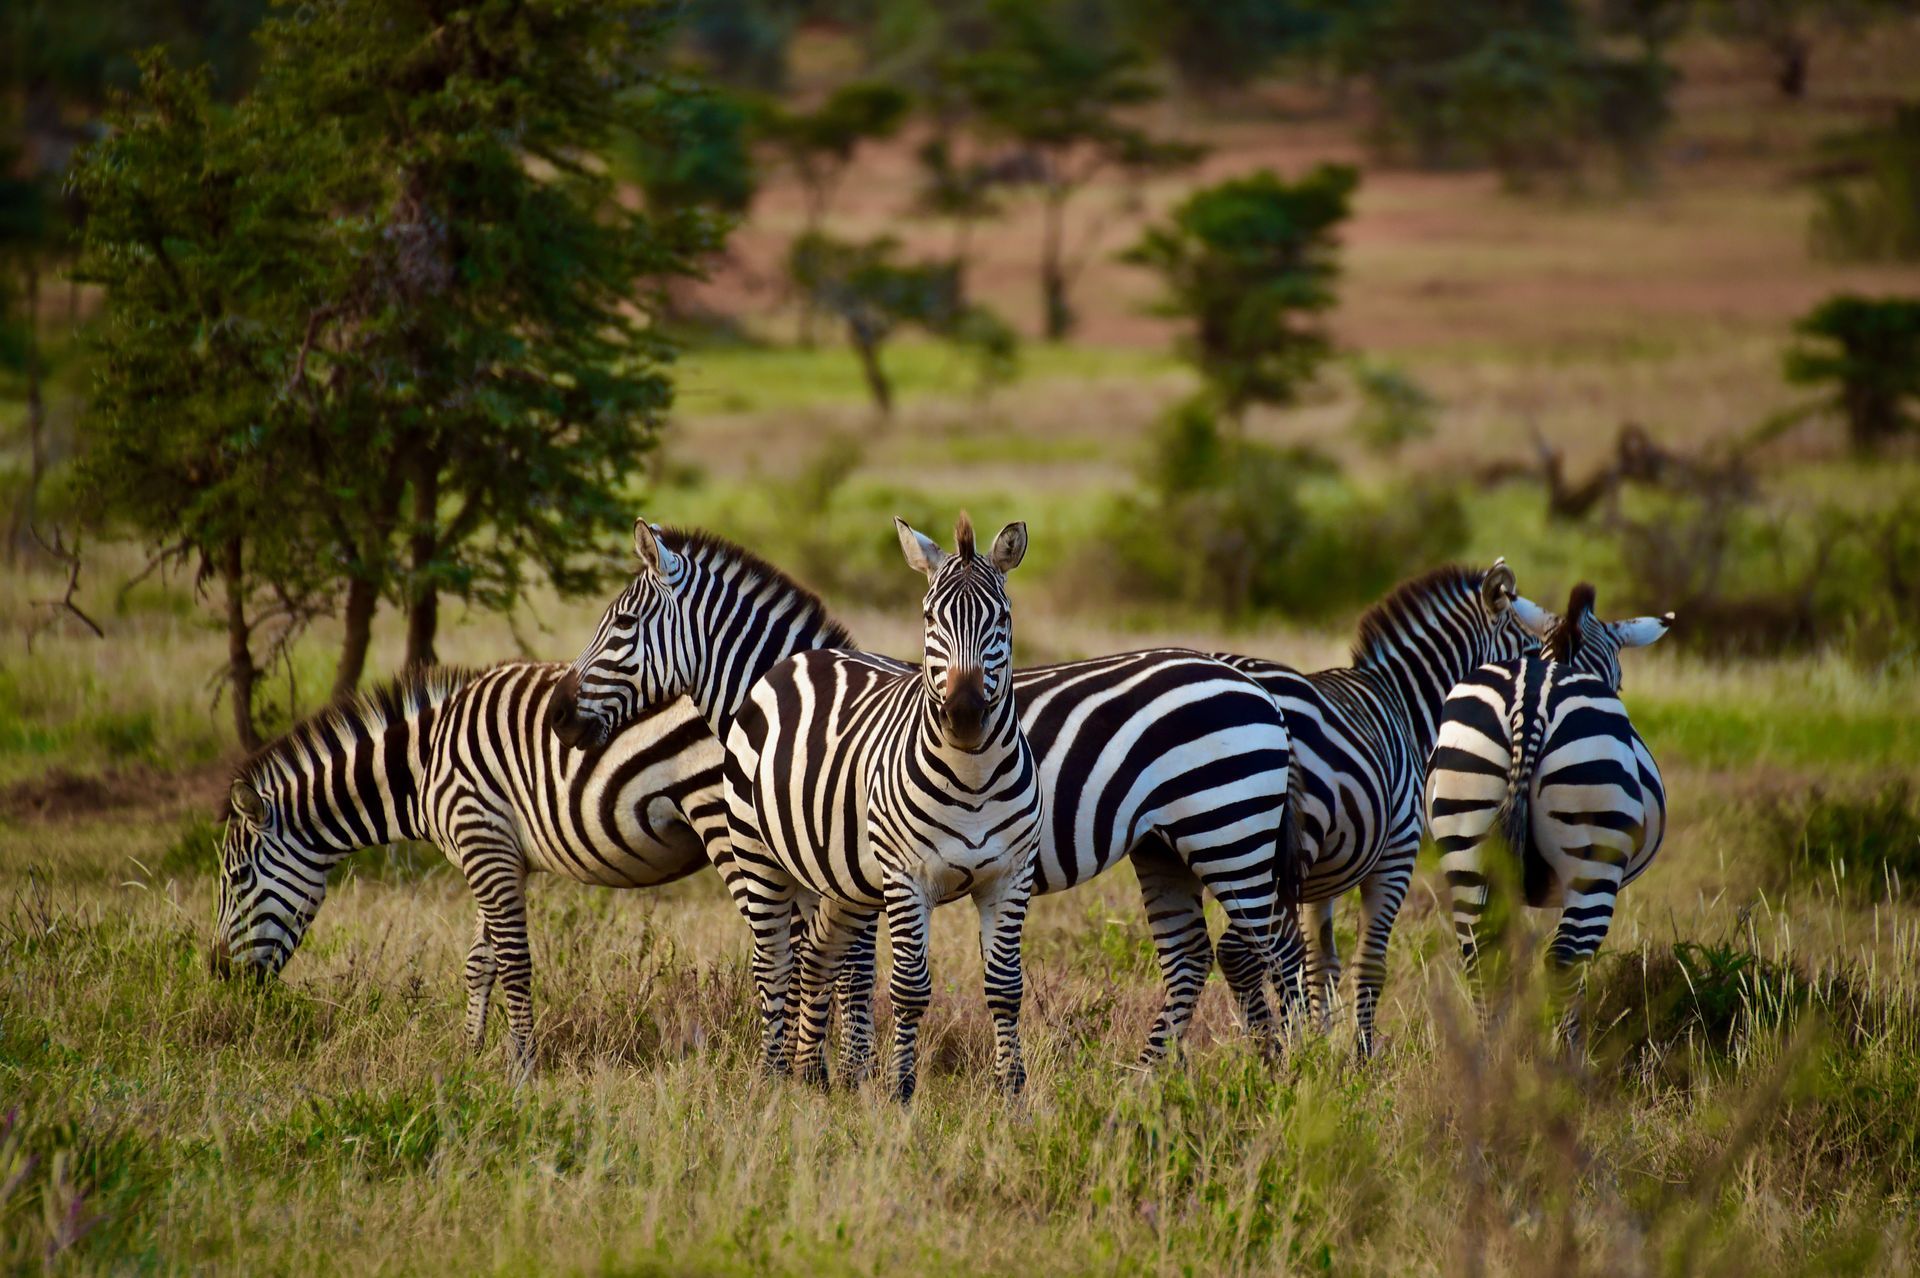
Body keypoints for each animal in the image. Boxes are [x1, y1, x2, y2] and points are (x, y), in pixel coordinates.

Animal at [210, 662, 729, 1077]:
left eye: (236, 879)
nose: (218, 975)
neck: (422, 767)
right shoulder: (493, 851)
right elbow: (481, 962)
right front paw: (471, 1055)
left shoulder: (481, 838)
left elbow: (514, 962)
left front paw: (523, 1069)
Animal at [548, 517, 1301, 1081]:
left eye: (620, 626)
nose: (560, 717)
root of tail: (1251, 681)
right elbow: (833, 963)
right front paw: (833, 1073)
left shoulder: (850, 869)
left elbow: (850, 972)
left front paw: (849, 1074)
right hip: (1167, 846)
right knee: (1194, 957)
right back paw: (1159, 1078)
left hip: (1229, 829)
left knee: (1277, 947)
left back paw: (1301, 1071)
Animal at [1214, 559, 1539, 1057]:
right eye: (1529, 649)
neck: (1403, 704)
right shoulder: (1397, 854)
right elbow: (1369, 962)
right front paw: (1359, 1056)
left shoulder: (1318, 883)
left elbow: (1319, 962)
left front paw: (1321, 1046)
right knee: (1240, 950)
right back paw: (1269, 1050)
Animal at [1424, 582, 1672, 1034]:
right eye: (1621, 684)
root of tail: (1531, 701)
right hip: (1593, 860)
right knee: (1564, 959)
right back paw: (1563, 1054)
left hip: (1464, 834)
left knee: (1481, 955)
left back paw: (1491, 1053)